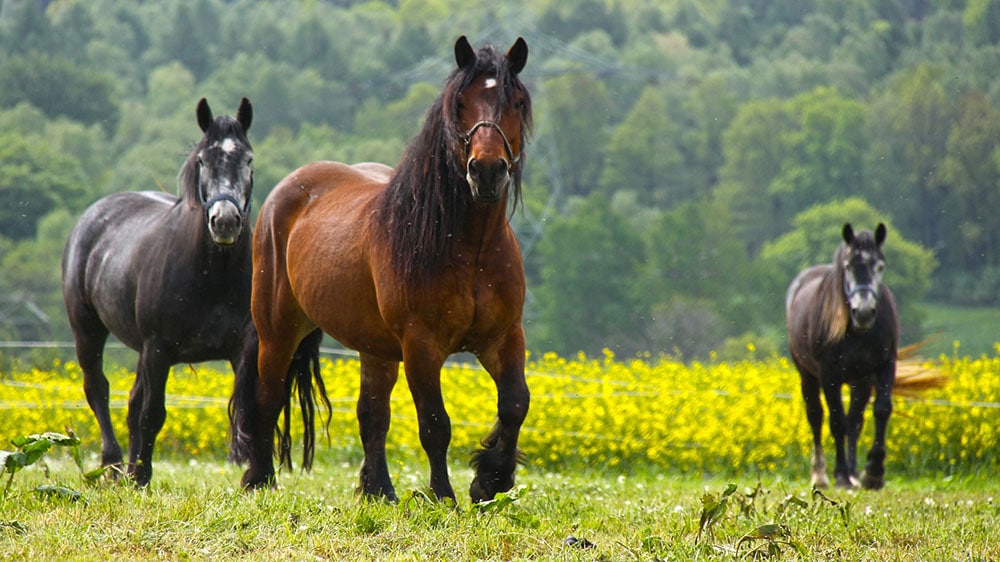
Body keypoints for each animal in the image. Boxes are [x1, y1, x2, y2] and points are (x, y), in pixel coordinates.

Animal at [63, 98, 328, 484]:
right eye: (203, 160)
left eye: (249, 160)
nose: (225, 221)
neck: (210, 276)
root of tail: (94, 215)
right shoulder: (159, 350)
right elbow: (153, 414)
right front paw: (142, 478)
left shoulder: (243, 348)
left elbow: (247, 408)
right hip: (88, 330)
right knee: (98, 389)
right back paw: (113, 465)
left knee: (130, 402)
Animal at [231, 37, 536, 500]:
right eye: (460, 103)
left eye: (516, 102)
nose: (486, 171)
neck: (471, 250)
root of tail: (286, 191)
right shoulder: (421, 345)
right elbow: (435, 424)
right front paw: (443, 496)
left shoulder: (502, 337)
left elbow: (516, 402)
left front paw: (490, 478)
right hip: (279, 331)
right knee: (268, 397)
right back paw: (259, 479)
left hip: (374, 348)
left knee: (371, 414)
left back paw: (379, 490)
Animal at [784, 221, 904, 488]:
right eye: (848, 266)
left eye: (880, 266)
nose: (864, 312)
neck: (858, 332)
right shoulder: (829, 375)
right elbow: (836, 421)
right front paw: (840, 474)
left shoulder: (885, 366)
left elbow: (881, 409)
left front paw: (873, 472)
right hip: (808, 375)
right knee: (817, 416)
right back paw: (821, 474)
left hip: (861, 382)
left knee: (855, 421)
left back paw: (853, 474)